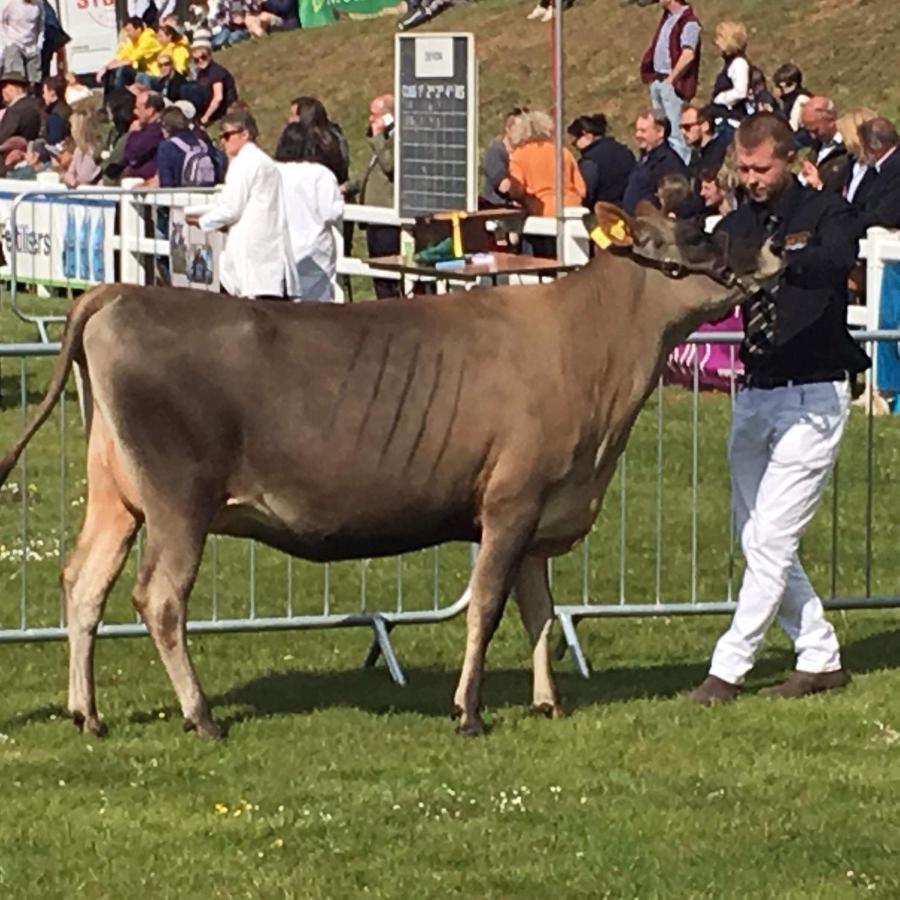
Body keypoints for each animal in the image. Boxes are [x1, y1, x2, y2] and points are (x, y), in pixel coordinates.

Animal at [0, 204, 776, 740]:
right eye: (698, 233)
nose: (774, 242)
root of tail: (119, 294)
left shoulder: (545, 508)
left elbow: (539, 612)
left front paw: (548, 702)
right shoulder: (511, 502)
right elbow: (488, 607)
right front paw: (468, 711)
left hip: (116, 497)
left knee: (84, 583)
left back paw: (87, 714)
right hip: (178, 501)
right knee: (158, 598)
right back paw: (202, 716)